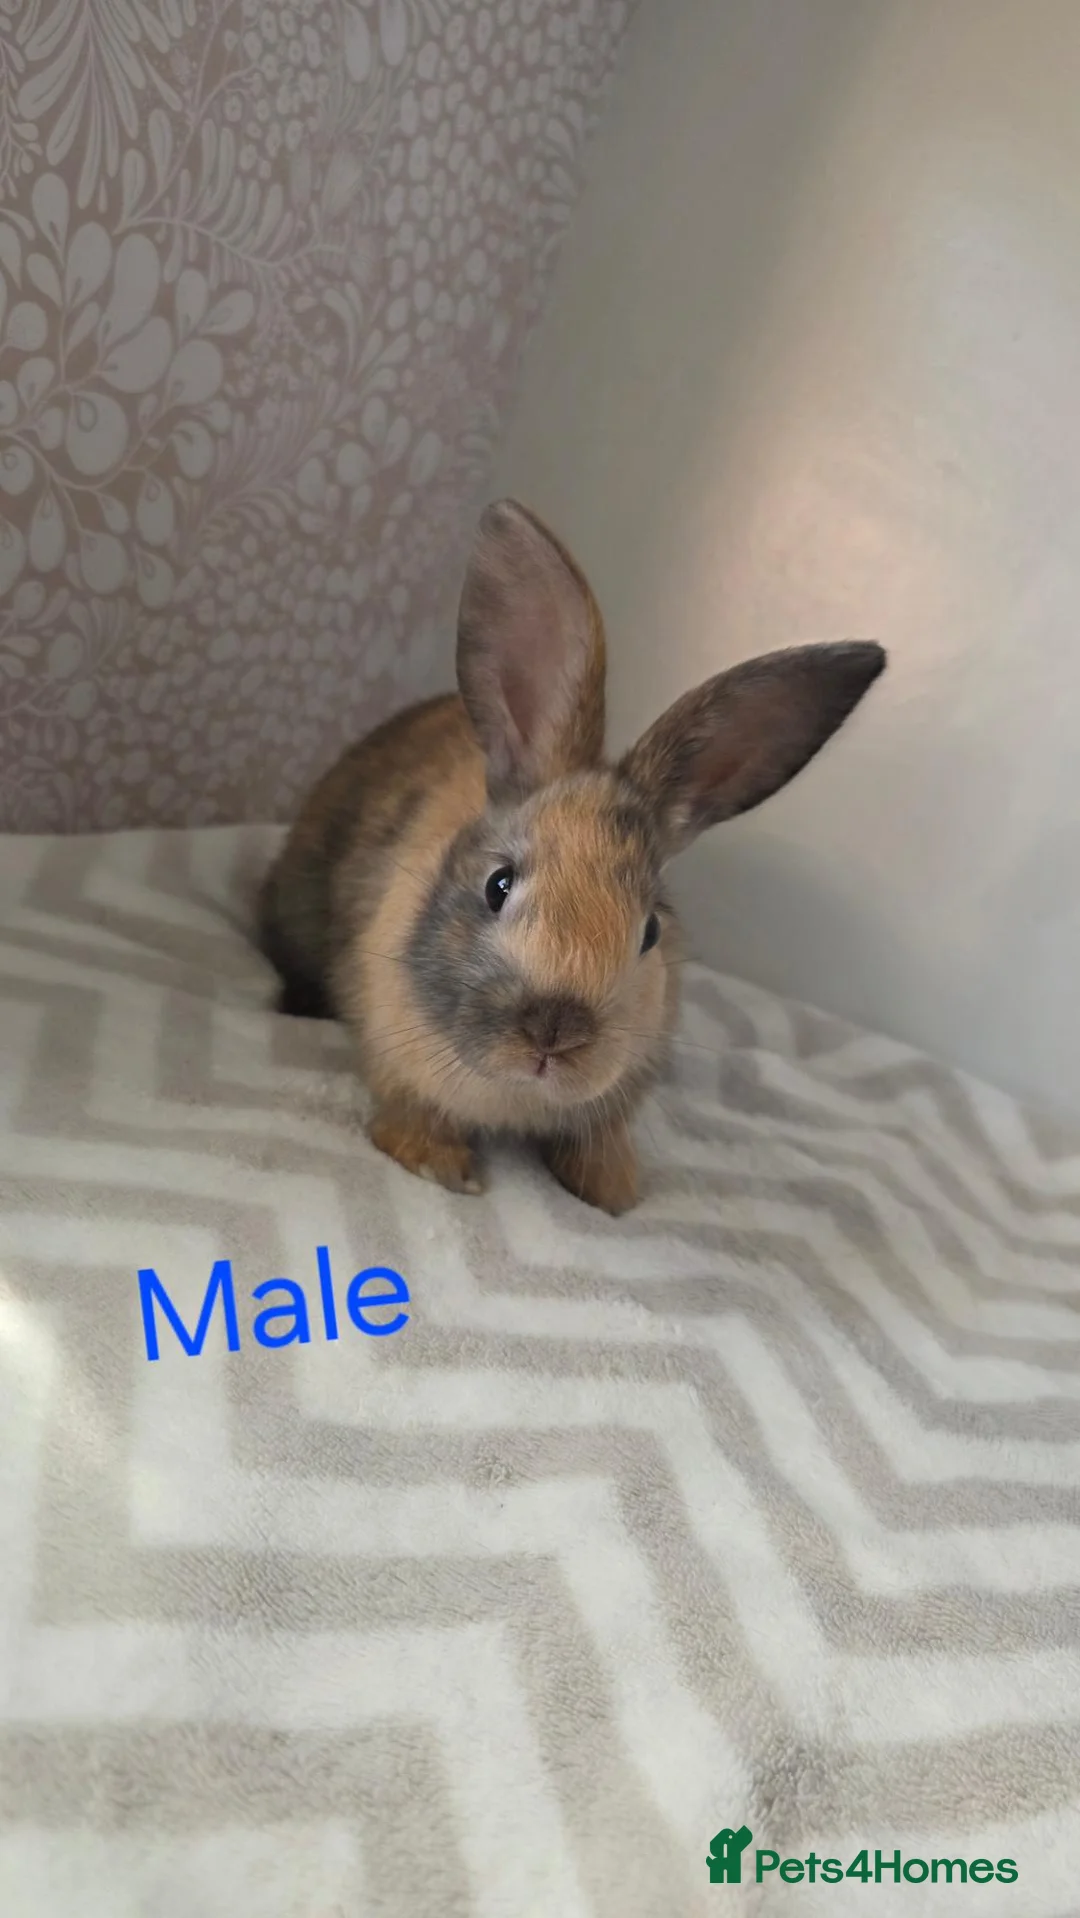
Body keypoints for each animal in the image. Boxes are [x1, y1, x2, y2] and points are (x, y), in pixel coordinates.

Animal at [257, 499, 885, 1213]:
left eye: (650, 931)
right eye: (498, 885)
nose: (554, 1035)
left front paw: (611, 1194)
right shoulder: (397, 1058)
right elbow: (413, 1117)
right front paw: (442, 1169)